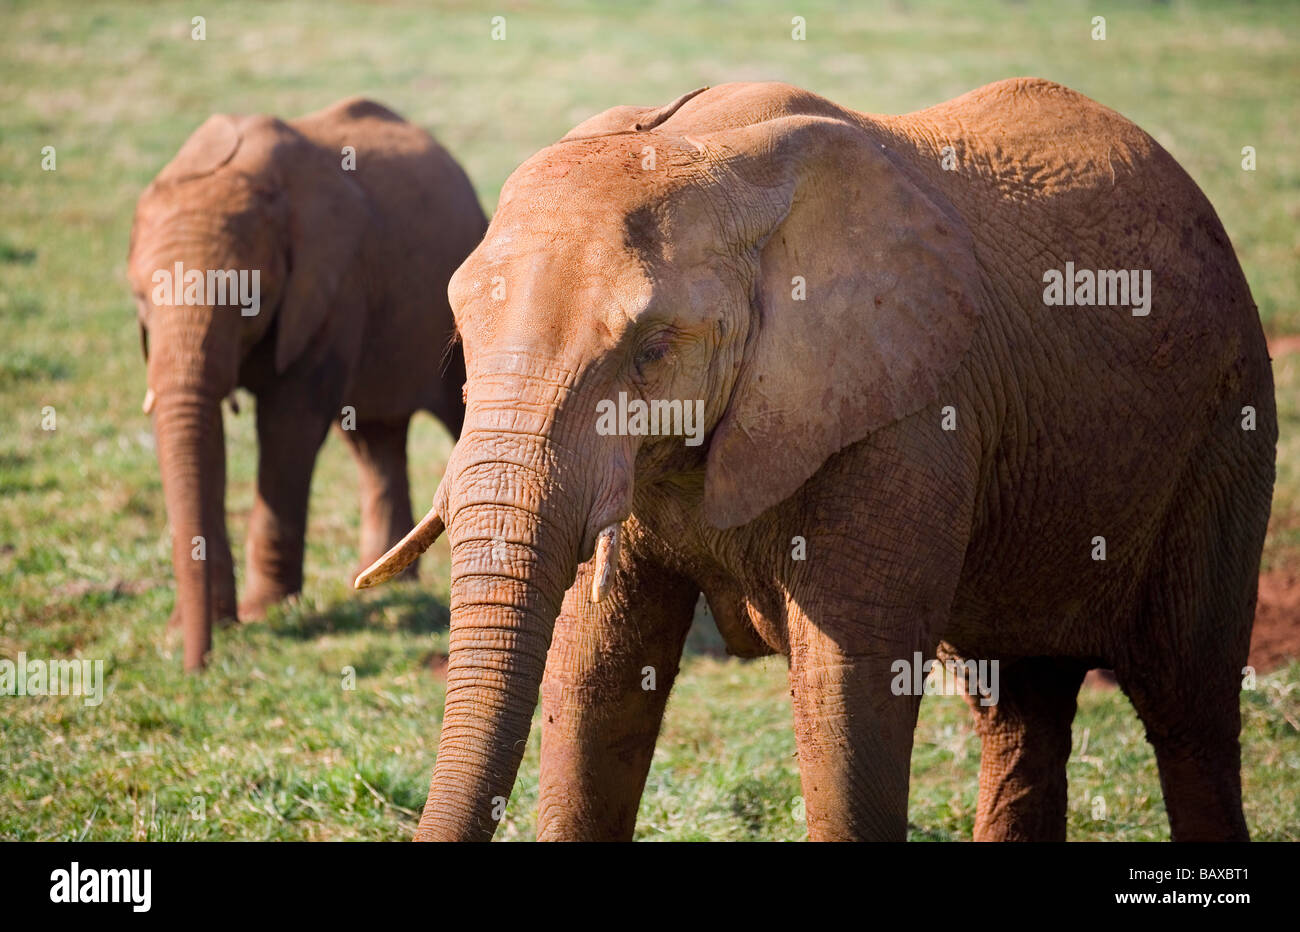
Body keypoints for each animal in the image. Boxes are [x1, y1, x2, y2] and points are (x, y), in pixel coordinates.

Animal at [128, 96, 488, 670]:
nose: (195, 667)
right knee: (372, 439)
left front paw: (263, 614)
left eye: (246, 300)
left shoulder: (329, 290)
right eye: (140, 300)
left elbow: (288, 425)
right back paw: (391, 586)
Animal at [361, 78, 1274, 837]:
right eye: (461, 335)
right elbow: (596, 680)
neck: (712, 151)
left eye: (650, 351)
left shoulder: (907, 418)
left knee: (1188, 703)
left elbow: (849, 691)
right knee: (1022, 707)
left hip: (1226, 423)